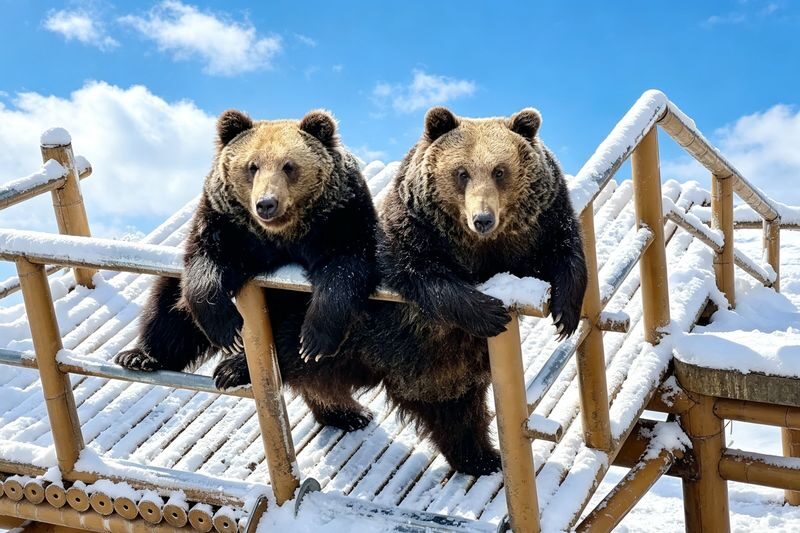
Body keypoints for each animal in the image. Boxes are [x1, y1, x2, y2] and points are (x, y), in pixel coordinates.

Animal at [116, 108, 381, 431]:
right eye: (251, 166)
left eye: (289, 166)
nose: (266, 203)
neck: (282, 234)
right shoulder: (229, 226)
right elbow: (204, 265)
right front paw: (226, 330)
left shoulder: (340, 222)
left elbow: (344, 272)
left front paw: (314, 339)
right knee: (167, 309)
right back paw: (139, 356)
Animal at [335, 106, 588, 475]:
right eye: (461, 173)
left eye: (500, 171)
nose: (482, 218)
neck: (482, 247)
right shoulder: (415, 230)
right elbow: (418, 270)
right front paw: (489, 313)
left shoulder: (542, 222)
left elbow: (565, 249)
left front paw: (565, 313)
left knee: (458, 410)